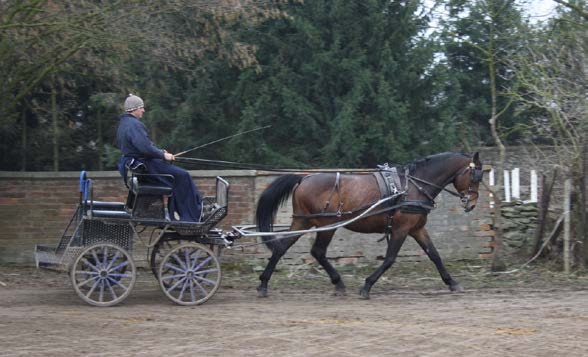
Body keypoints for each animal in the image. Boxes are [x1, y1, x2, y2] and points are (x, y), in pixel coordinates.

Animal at [255, 150, 484, 298]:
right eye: (475, 176)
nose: (471, 203)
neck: (413, 186)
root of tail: (304, 179)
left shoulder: (417, 228)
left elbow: (434, 255)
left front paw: (452, 283)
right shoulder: (401, 229)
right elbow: (390, 259)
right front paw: (367, 286)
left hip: (303, 221)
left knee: (282, 247)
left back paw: (264, 283)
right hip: (325, 224)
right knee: (317, 251)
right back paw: (337, 283)